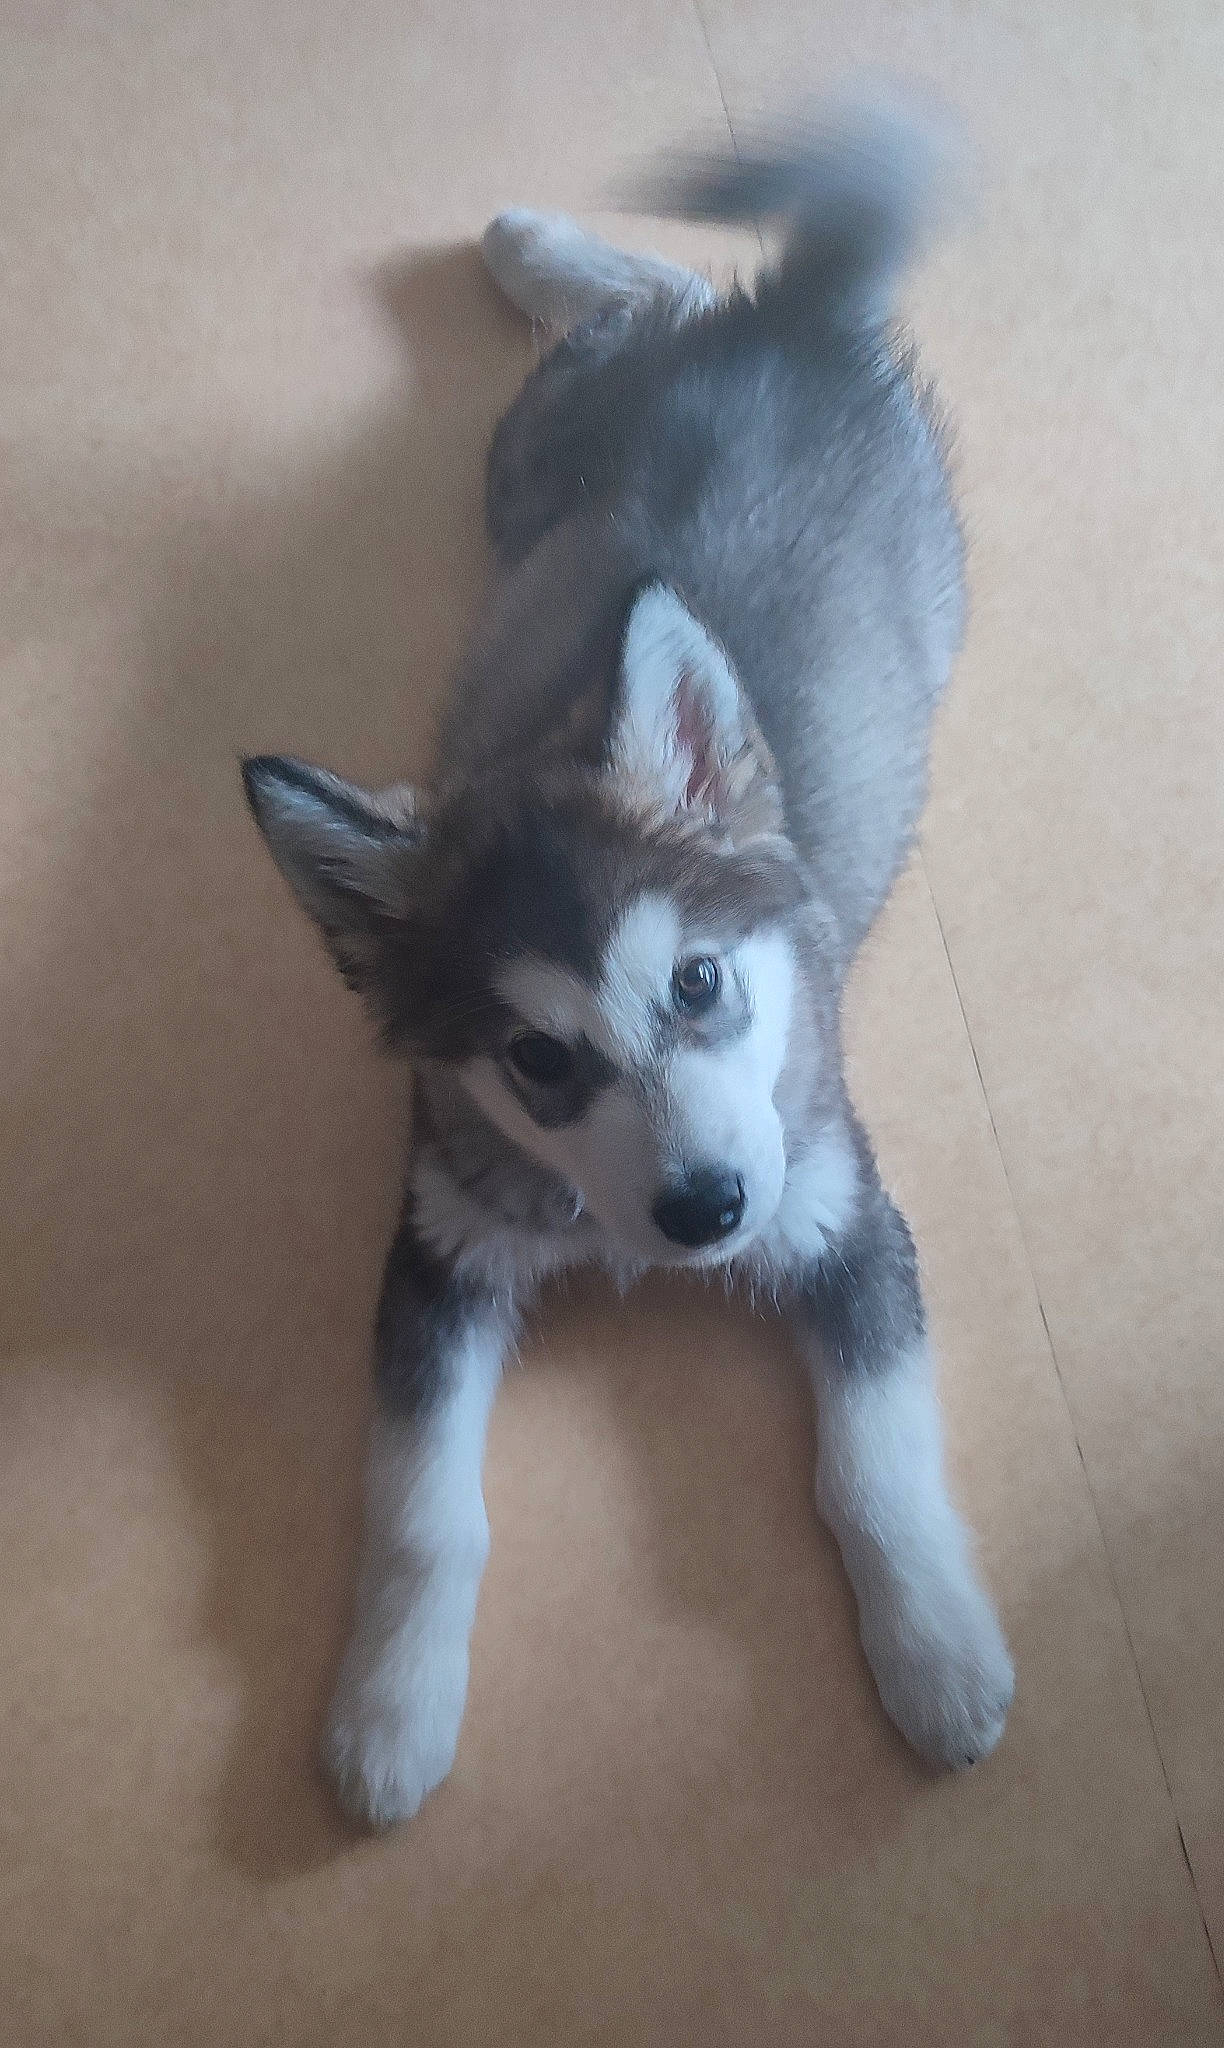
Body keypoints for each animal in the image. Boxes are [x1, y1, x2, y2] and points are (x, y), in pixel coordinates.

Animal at [243, 98, 1014, 1826]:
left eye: (702, 985)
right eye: (536, 1059)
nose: (707, 1216)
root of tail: (793, 323)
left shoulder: (846, 1212)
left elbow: (875, 1468)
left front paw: (935, 1653)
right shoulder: (438, 1253)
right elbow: (421, 1513)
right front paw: (388, 1711)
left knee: (675, 284)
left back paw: (533, 241)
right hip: (520, 461)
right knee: (659, 293)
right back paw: (530, 242)